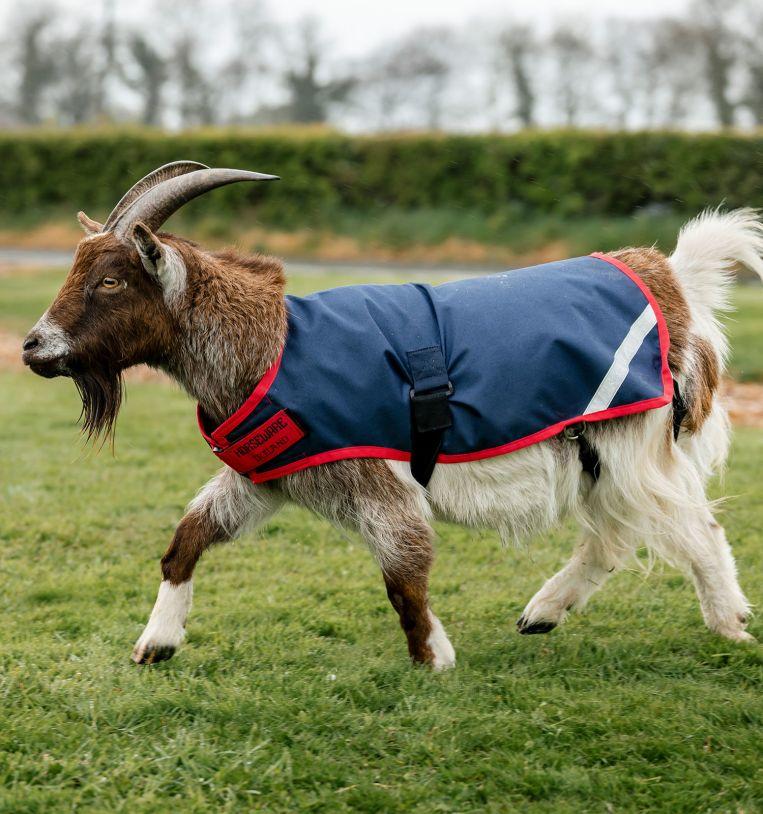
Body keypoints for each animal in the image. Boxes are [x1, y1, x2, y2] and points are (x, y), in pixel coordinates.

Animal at [22, 162, 762, 668]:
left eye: (111, 280)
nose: (33, 346)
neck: (271, 345)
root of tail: (671, 277)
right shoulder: (267, 476)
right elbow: (187, 539)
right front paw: (156, 643)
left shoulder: (374, 477)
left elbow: (404, 571)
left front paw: (434, 658)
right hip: (595, 453)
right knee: (613, 536)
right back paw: (543, 614)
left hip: (632, 441)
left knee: (690, 525)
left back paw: (728, 622)